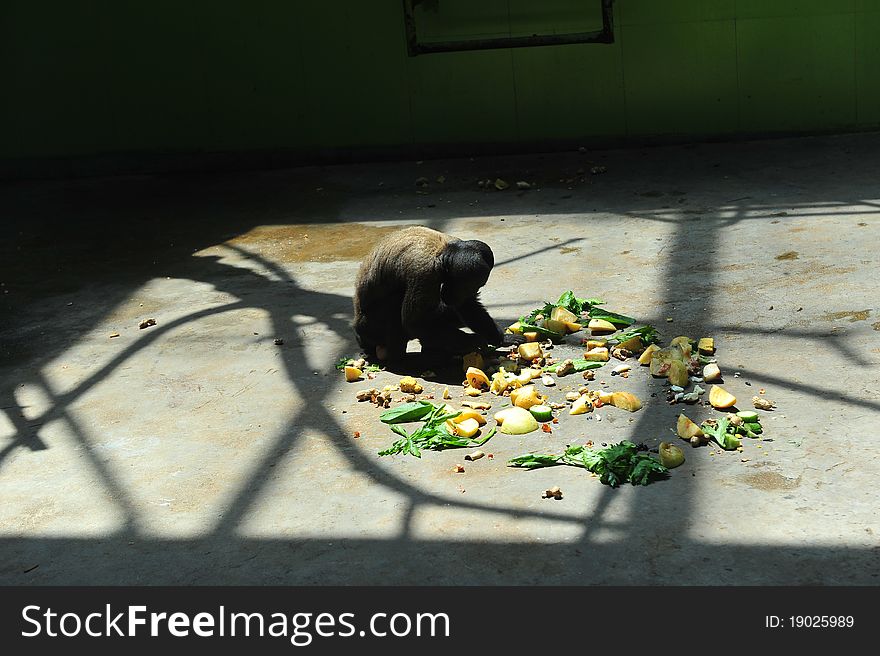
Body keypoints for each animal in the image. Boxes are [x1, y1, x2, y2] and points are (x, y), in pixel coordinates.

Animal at [350, 227, 502, 364]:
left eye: (474, 288)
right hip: (370, 328)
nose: (458, 295)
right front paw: (475, 341)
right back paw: (399, 358)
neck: (443, 251)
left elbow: (467, 306)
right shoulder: (424, 271)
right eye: (467, 287)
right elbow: (414, 323)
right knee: (396, 301)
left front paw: (499, 338)